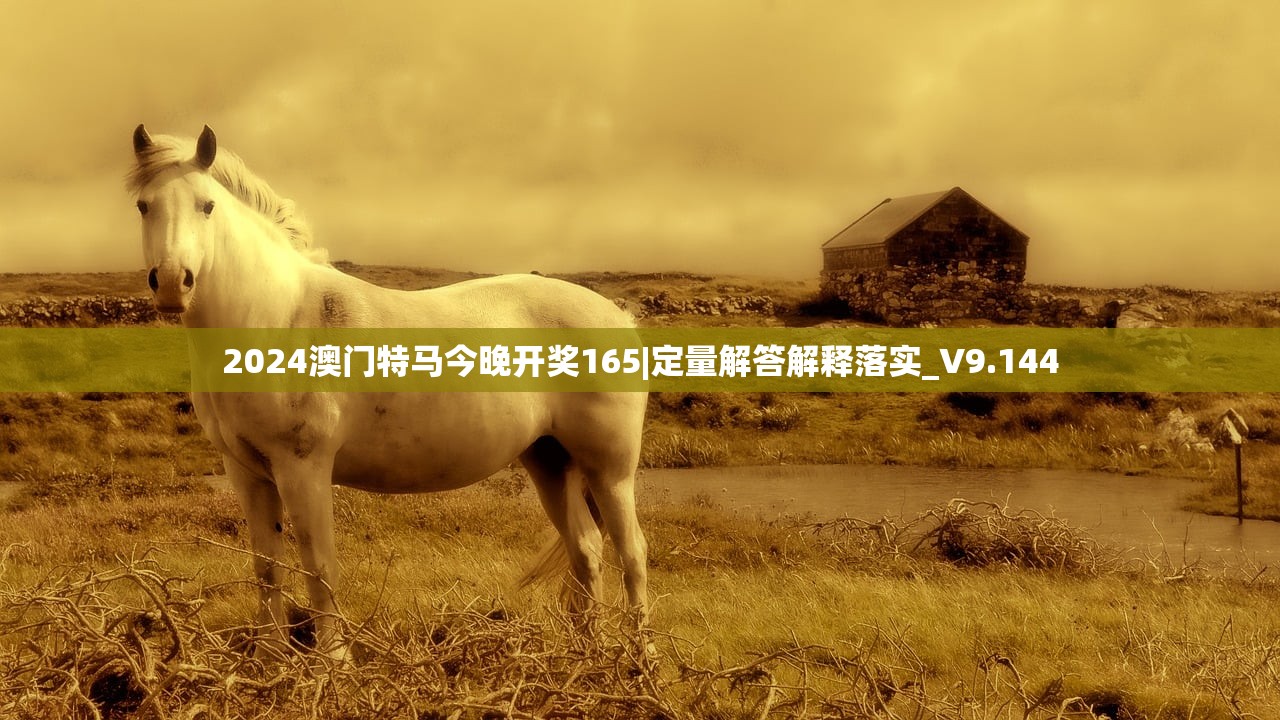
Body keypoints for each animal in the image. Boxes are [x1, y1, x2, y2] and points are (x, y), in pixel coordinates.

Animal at [127, 124, 649, 655]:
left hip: (609, 470)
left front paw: (333, 660)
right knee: (586, 549)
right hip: (549, 460)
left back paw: (639, 655)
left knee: (632, 552)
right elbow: (267, 568)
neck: (278, 316)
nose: (171, 283)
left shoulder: (303, 469)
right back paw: (587, 651)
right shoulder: (247, 473)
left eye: (206, 205)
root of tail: (618, 315)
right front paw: (271, 657)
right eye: (144, 206)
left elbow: (319, 566)